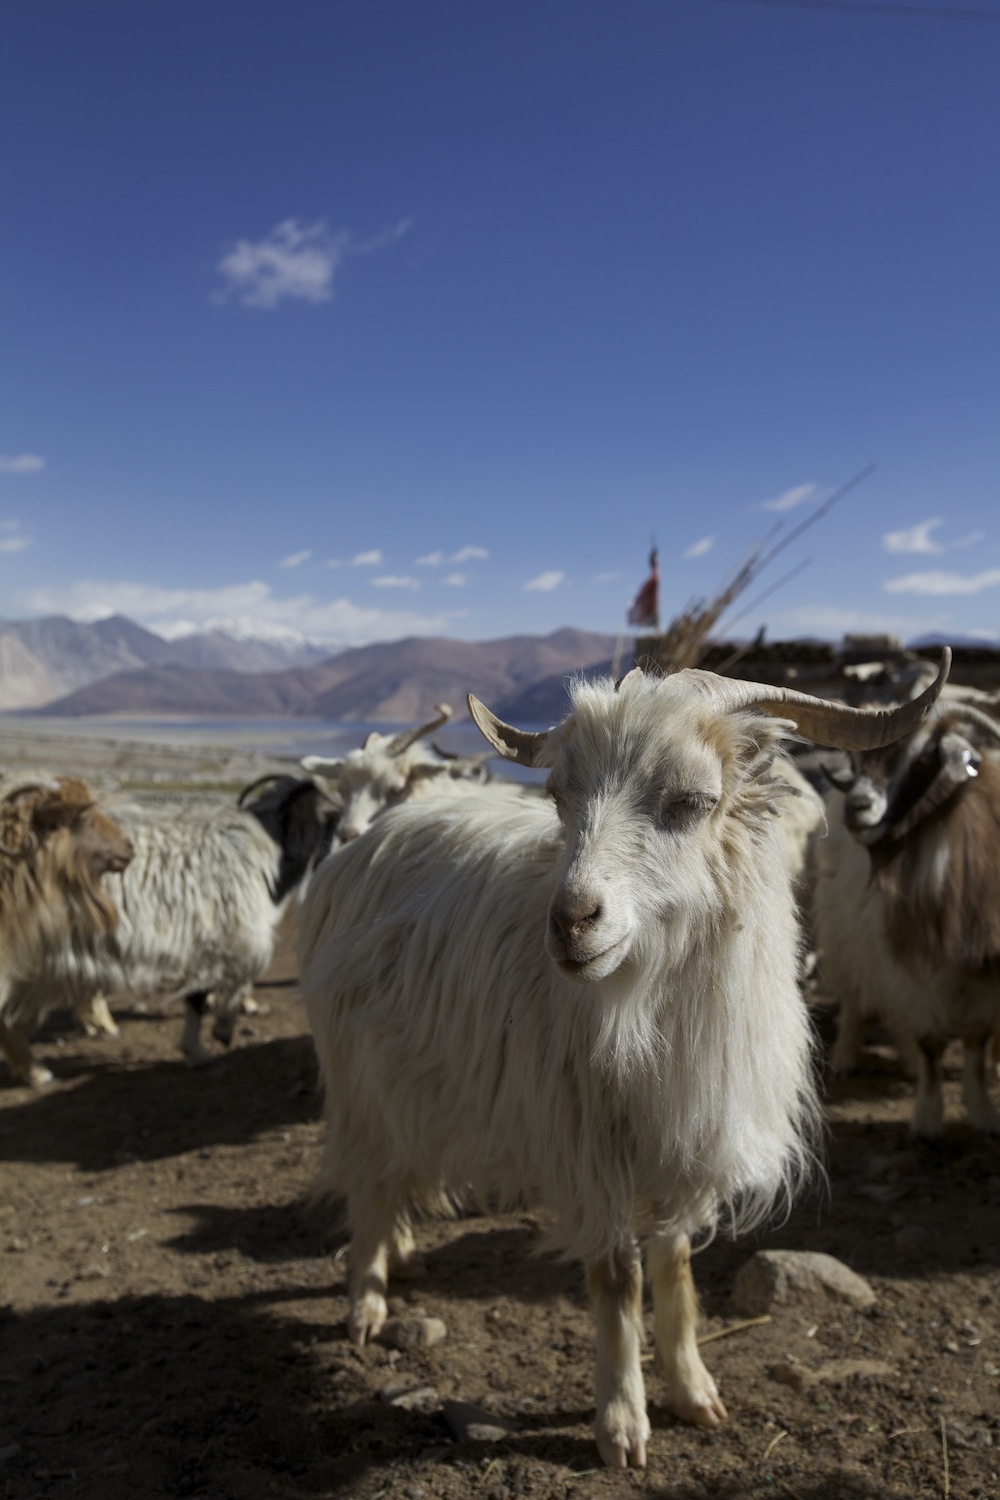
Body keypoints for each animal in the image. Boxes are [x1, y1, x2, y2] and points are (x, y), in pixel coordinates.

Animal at [301, 654, 953, 1464]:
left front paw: (694, 1391)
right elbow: (618, 1279)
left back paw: (402, 1250)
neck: (646, 1003)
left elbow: (673, 1265)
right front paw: (621, 1424)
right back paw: (366, 1298)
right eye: (558, 796)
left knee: (395, 1175)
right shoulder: (590, 1149)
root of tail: (370, 837)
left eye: (694, 800)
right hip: (359, 1079)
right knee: (368, 1183)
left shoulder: (684, 1143)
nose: (571, 922)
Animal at [815, 702, 1000, 1134]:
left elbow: (977, 1037)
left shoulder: (983, 967)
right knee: (856, 995)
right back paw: (848, 1056)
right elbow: (929, 1040)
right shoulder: (910, 959)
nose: (858, 808)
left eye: (926, 757)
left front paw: (982, 1111)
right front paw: (928, 1120)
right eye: (856, 760)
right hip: (846, 930)